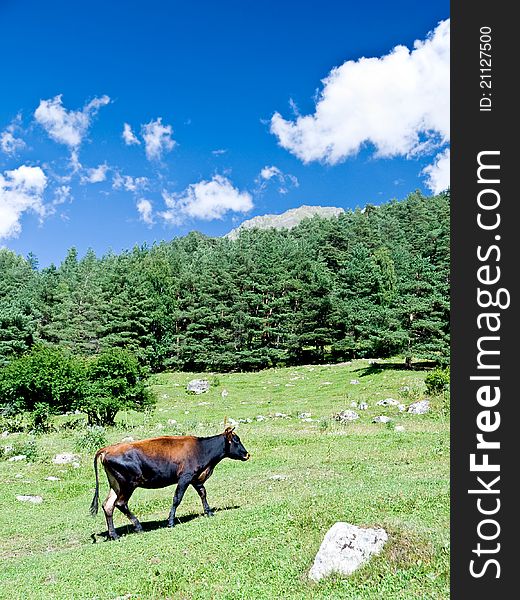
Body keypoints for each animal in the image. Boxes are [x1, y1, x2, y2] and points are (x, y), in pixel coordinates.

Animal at [89, 426, 250, 540]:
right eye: (236, 440)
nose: (247, 454)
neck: (201, 449)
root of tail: (109, 448)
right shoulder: (185, 477)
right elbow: (177, 498)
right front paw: (170, 521)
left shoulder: (195, 478)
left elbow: (203, 493)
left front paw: (209, 512)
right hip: (128, 483)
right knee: (120, 503)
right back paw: (139, 527)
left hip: (116, 484)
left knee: (108, 505)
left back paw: (114, 535)